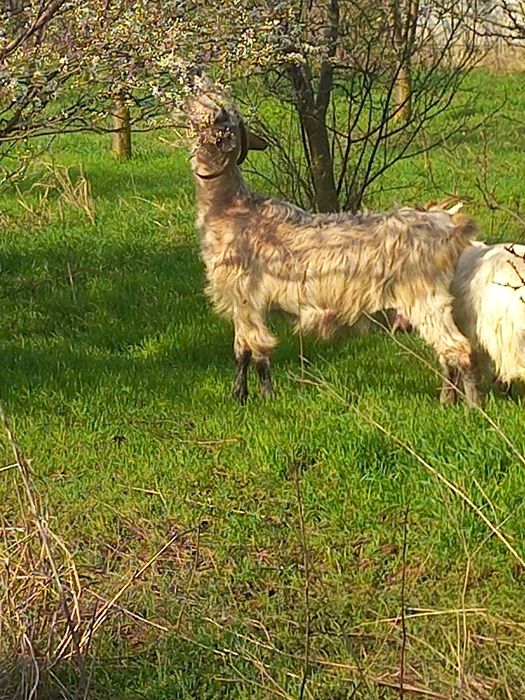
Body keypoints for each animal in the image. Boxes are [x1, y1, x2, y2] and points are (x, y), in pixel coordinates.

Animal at [188, 89, 482, 405]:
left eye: (217, 115)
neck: (230, 208)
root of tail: (449, 226)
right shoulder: (242, 302)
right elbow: (246, 350)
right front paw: (245, 396)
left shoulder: (244, 296)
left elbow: (252, 350)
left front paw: (258, 398)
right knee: (447, 354)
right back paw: (447, 402)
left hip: (425, 298)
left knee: (459, 349)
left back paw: (472, 406)